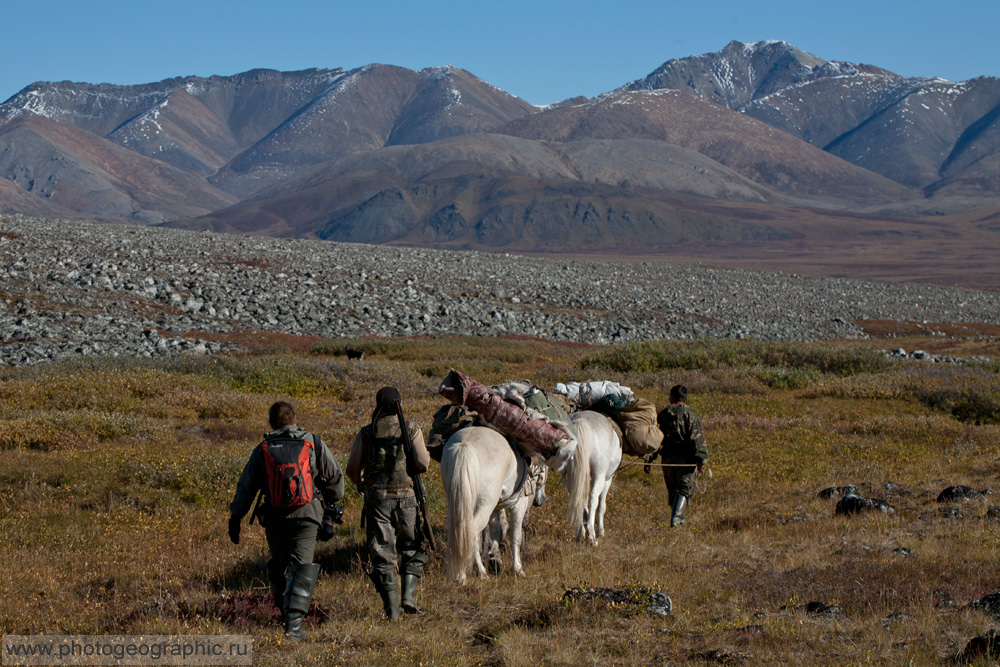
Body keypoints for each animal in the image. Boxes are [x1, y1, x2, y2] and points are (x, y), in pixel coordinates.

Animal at [446, 428, 552, 584]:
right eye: (544, 470)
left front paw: (495, 558)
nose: (540, 500)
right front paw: (518, 569)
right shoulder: (518, 506)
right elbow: (515, 536)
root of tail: (465, 445)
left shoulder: (495, 509)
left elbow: (496, 531)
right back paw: (470, 574)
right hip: (484, 507)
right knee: (472, 533)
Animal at [568, 412, 620, 548]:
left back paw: (581, 533)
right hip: (600, 475)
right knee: (593, 500)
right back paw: (591, 536)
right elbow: (602, 505)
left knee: (579, 499)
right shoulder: (608, 479)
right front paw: (600, 531)